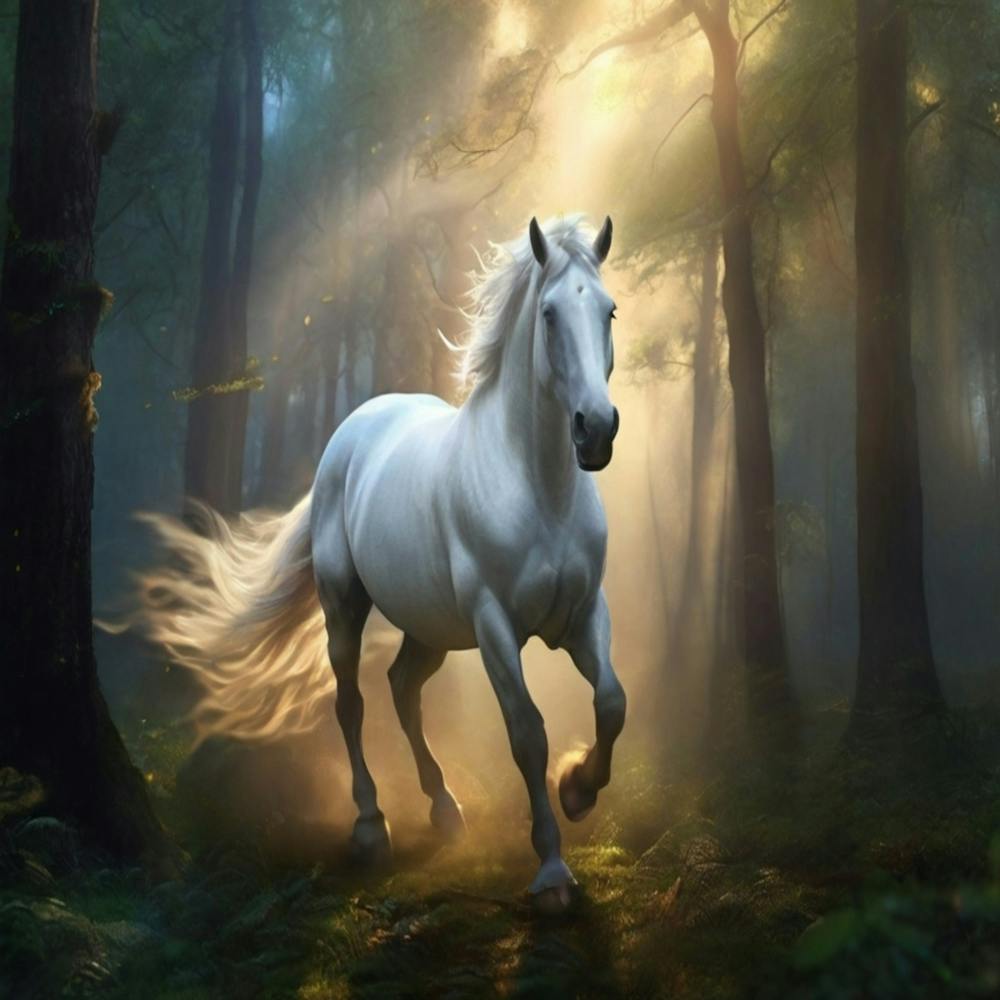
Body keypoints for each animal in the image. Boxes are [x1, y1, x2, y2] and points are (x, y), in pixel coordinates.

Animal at [136, 214, 626, 913]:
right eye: (550, 314)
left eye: (609, 310)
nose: (596, 430)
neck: (539, 490)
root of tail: (351, 431)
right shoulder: (495, 626)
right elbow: (527, 732)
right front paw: (553, 872)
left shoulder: (584, 613)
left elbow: (611, 702)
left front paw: (579, 789)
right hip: (344, 605)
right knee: (352, 702)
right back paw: (372, 828)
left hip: (431, 627)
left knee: (402, 688)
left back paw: (444, 808)